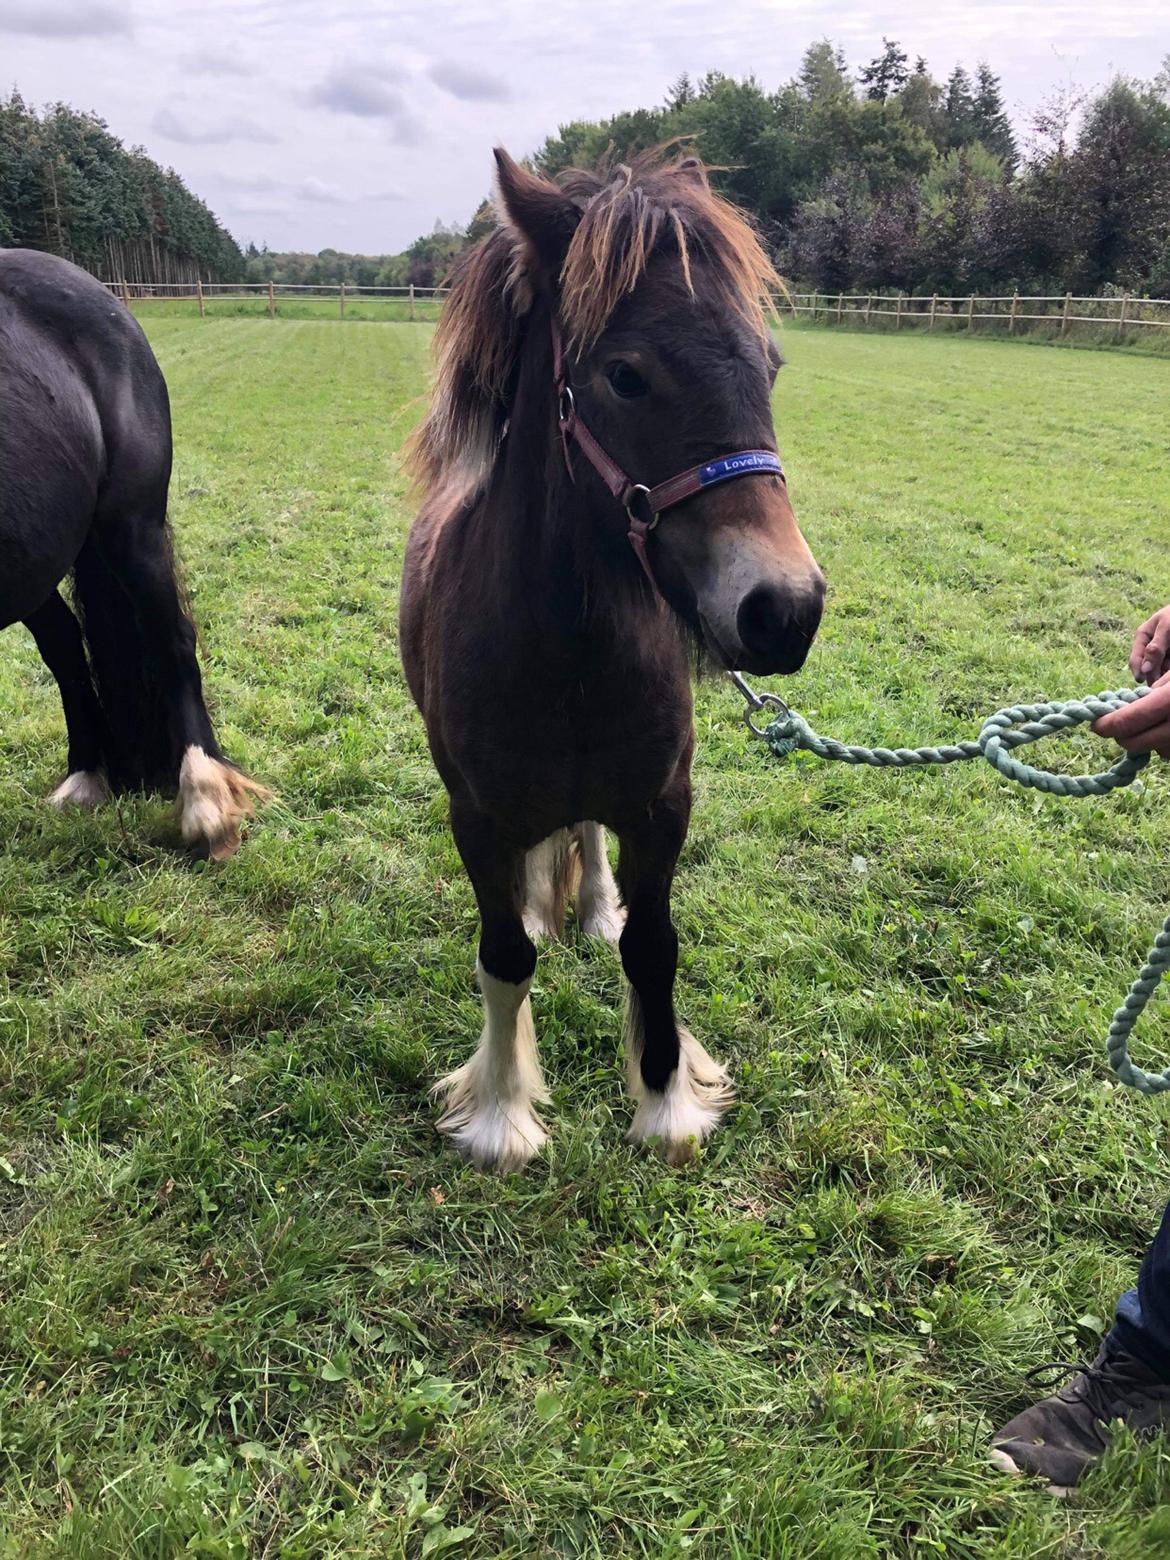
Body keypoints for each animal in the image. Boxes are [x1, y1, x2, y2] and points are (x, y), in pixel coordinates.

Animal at [1, 249, 263, 861]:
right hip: (34, 562)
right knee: (65, 648)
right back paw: (86, 776)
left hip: (130, 528)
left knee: (171, 638)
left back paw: (204, 796)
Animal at [402, 148, 823, 1173]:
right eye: (626, 375)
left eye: (771, 364)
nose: (785, 610)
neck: (566, 649)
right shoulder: (475, 819)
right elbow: (503, 956)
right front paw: (502, 1115)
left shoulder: (663, 805)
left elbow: (655, 948)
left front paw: (667, 1101)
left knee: (587, 835)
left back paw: (593, 907)